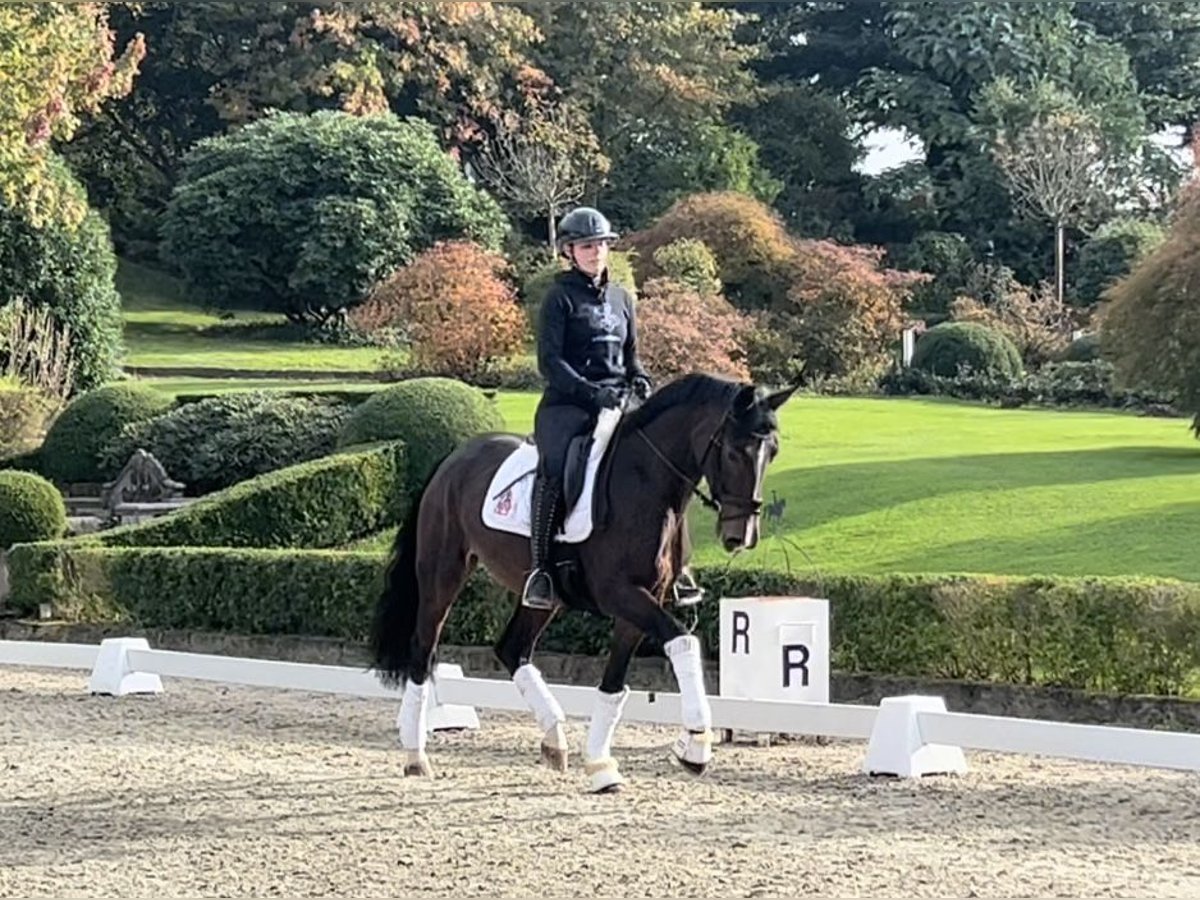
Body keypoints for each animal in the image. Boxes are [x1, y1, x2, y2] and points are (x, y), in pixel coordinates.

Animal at [364, 369, 796, 792]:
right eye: (734, 451)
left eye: (773, 452)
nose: (742, 536)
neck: (646, 482)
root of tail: (454, 459)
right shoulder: (622, 594)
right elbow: (682, 641)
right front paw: (695, 747)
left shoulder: (642, 600)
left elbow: (614, 684)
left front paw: (602, 766)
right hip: (443, 575)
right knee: (424, 649)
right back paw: (415, 756)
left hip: (541, 596)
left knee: (512, 649)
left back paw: (554, 740)